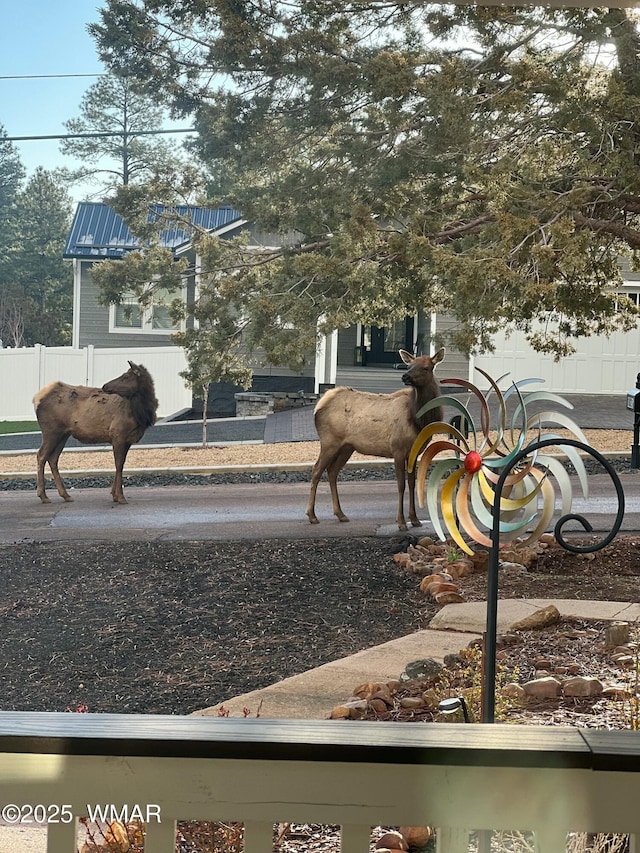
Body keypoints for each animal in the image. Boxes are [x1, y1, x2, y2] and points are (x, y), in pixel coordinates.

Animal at [33, 362, 158, 506]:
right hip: (51, 430)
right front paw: (120, 496)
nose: (105, 386)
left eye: (126, 377)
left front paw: (113, 494)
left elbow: (121, 464)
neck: (140, 414)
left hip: (63, 434)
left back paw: (66, 495)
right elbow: (119, 464)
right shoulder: (118, 434)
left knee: (53, 458)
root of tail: (36, 399)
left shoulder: (127, 440)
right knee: (41, 455)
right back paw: (43, 496)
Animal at [306, 346, 444, 524]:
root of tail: (318, 406)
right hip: (329, 441)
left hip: (346, 447)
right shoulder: (397, 448)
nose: (405, 376)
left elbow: (412, 483)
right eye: (410, 365)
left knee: (332, 471)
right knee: (316, 470)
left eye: (426, 367)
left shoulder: (414, 453)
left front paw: (414, 519)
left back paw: (340, 513)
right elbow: (401, 484)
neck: (417, 420)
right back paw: (312, 515)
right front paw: (401, 522)